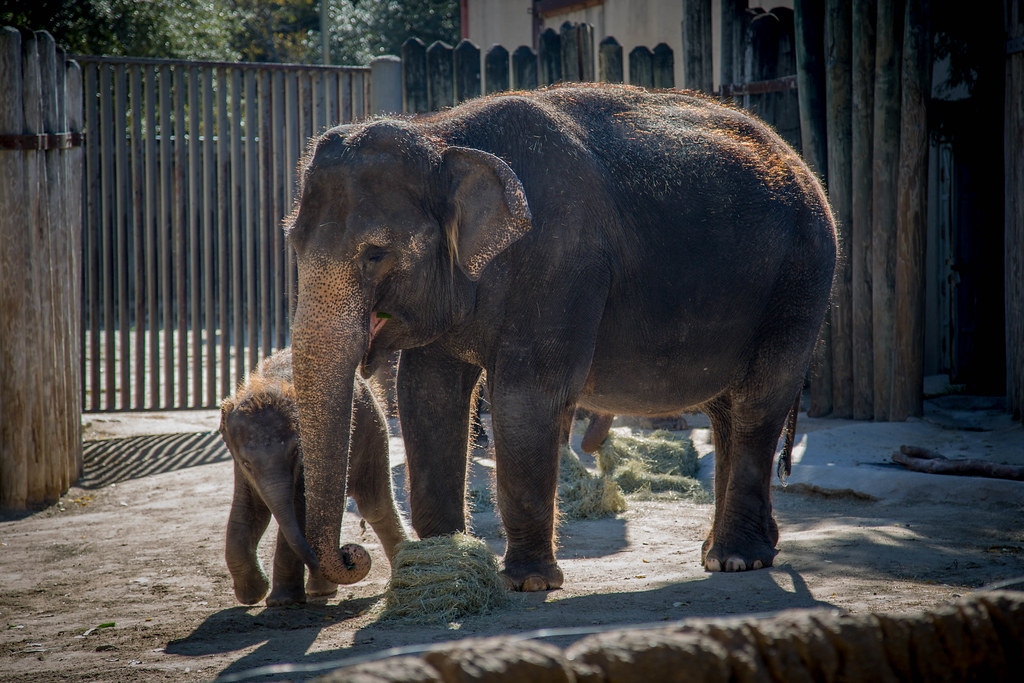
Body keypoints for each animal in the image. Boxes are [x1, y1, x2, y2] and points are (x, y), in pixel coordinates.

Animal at [219, 347, 407, 605]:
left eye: (295, 452)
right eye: (247, 462)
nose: (348, 557)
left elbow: (299, 510)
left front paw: (281, 601)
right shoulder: (241, 469)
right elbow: (248, 512)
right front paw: (252, 594)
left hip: (374, 430)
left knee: (375, 506)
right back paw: (321, 590)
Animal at [285, 83, 837, 591]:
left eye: (375, 253)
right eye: (292, 241)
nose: (351, 554)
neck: (440, 135)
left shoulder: (560, 264)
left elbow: (525, 397)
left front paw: (529, 583)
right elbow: (428, 395)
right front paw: (447, 559)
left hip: (801, 281)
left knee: (758, 402)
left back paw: (734, 560)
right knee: (727, 412)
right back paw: (732, 550)